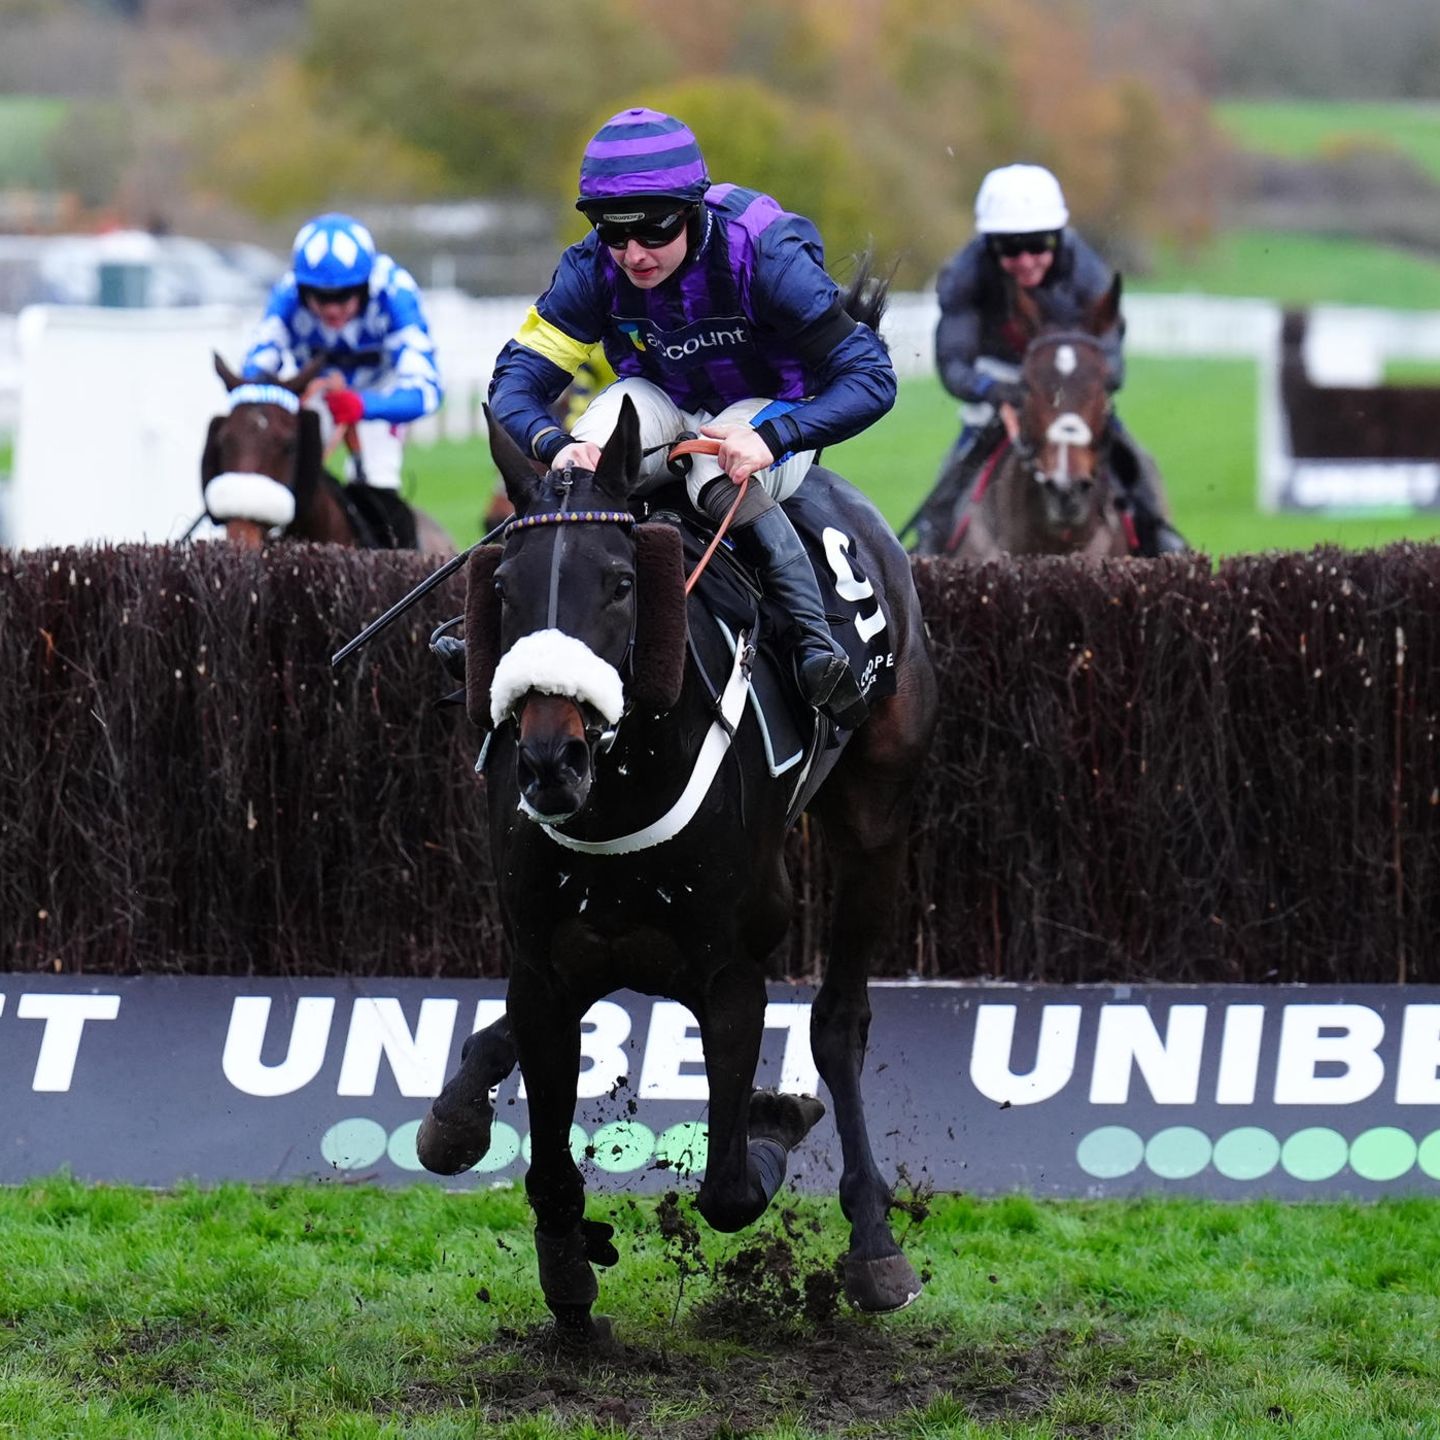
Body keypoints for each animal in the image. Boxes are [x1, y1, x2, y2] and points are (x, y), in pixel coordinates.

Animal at [411, 391, 938, 1336]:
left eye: (623, 583)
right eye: (502, 589)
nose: (549, 762)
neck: (618, 802)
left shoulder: (733, 974)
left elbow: (729, 1189)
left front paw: (775, 1115)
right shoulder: (543, 965)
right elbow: (548, 1164)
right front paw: (569, 1265)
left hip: (877, 813)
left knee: (840, 1020)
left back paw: (875, 1244)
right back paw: (458, 1111)